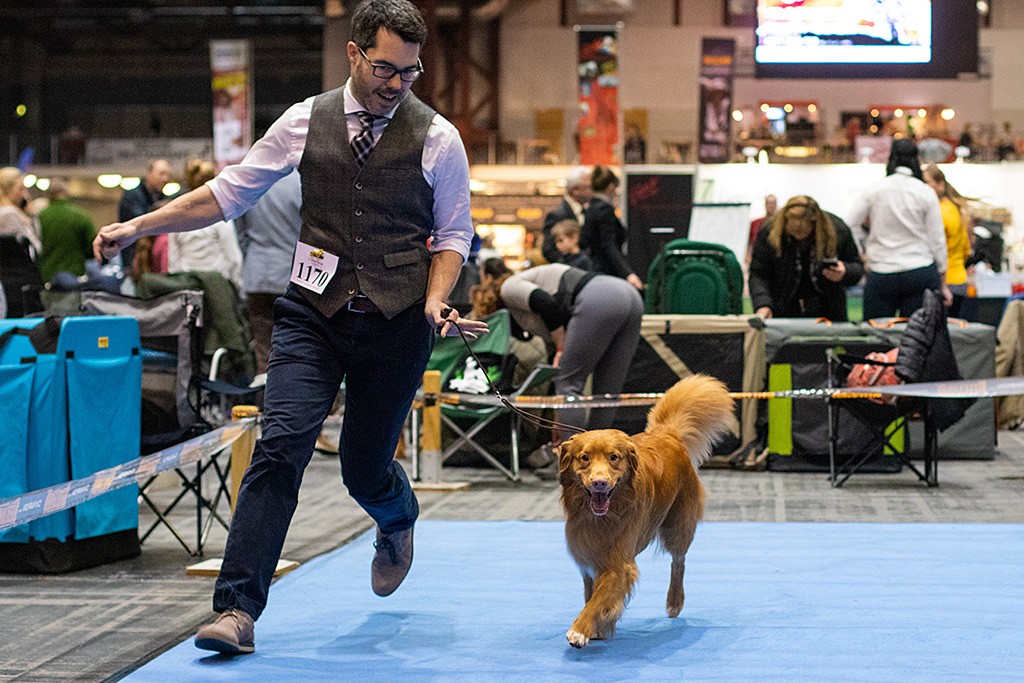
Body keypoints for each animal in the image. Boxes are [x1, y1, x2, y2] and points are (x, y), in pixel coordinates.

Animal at [561, 374, 737, 647]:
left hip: (678, 526)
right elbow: (592, 594)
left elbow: (598, 599)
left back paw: (675, 602)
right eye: (584, 457)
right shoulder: (588, 556)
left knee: (679, 561)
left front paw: (581, 628)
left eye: (614, 457)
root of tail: (667, 434)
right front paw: (601, 626)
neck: (601, 518)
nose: (600, 482)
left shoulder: (618, 563)